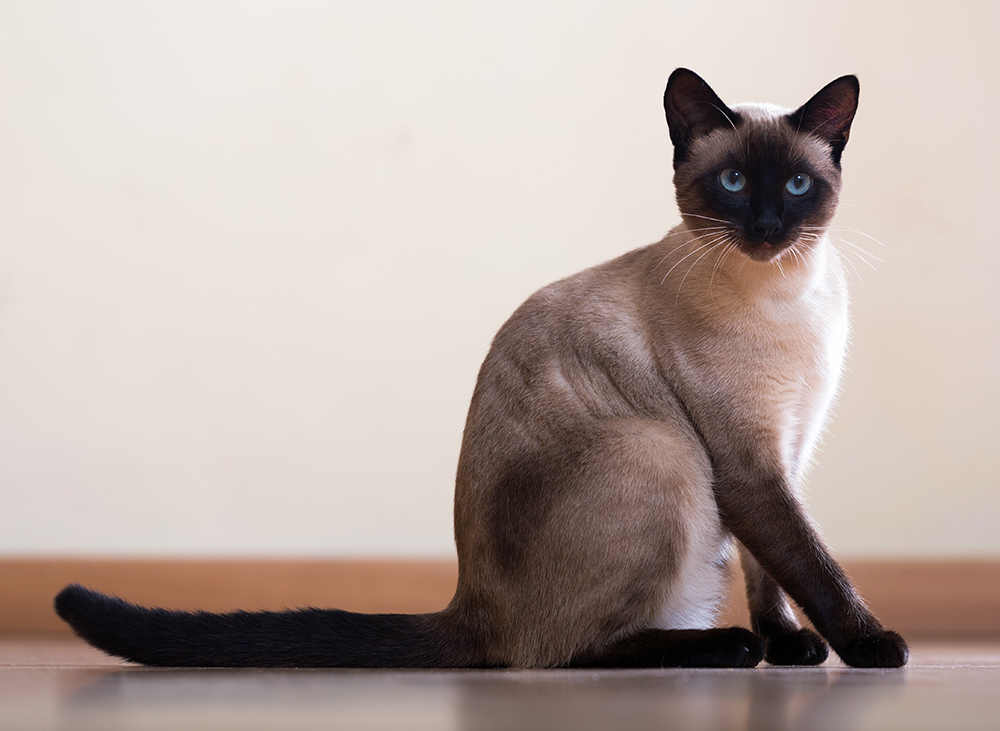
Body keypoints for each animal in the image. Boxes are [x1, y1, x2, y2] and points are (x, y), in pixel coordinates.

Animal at [56, 68, 916, 668]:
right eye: (734, 182)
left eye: (798, 184)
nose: (768, 226)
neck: (786, 293)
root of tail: (467, 603)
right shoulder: (746, 464)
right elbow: (813, 565)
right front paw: (871, 646)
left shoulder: (788, 452)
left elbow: (779, 573)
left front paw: (795, 646)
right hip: (660, 448)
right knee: (563, 652)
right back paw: (724, 647)